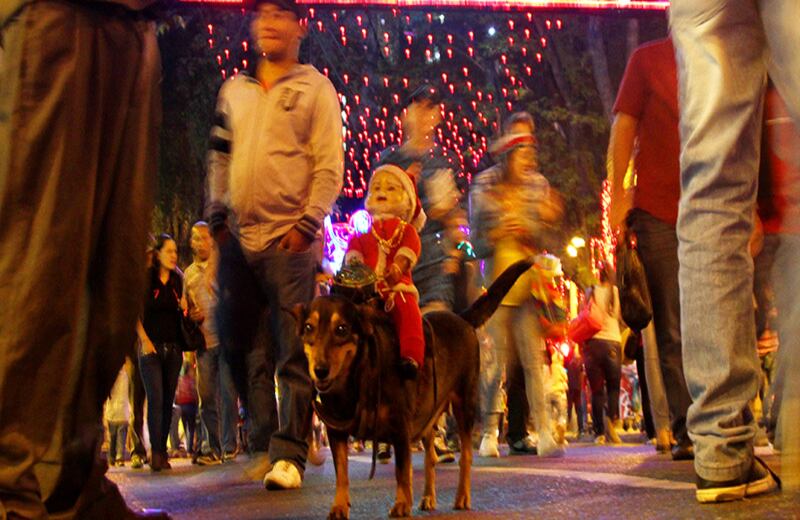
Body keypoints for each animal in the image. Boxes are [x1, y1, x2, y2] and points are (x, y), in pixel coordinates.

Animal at [293, 259, 534, 519]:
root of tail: (462, 318)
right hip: (428, 414)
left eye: (341, 329)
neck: (358, 376)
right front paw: (338, 506)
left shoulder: (400, 426)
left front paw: (401, 504)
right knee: (430, 458)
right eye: (309, 327)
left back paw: (462, 496)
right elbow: (342, 473)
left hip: (464, 405)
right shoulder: (336, 432)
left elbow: (402, 470)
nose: (320, 370)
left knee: (466, 456)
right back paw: (427, 497)